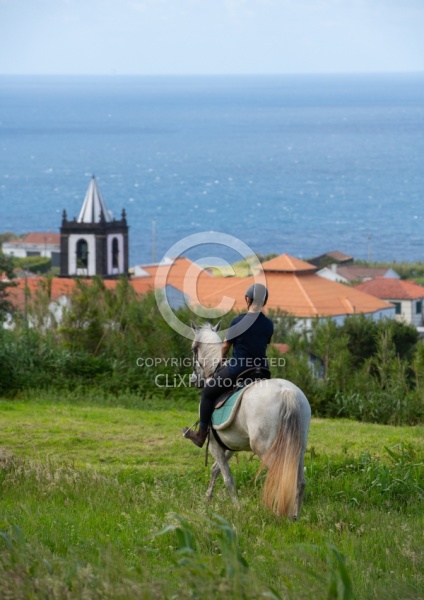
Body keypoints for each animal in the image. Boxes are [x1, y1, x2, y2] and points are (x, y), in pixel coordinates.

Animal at [190, 324, 312, 520]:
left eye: (193, 349)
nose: (194, 380)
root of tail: (287, 392)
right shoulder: (230, 445)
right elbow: (216, 469)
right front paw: (208, 498)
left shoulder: (215, 445)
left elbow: (227, 478)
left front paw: (237, 508)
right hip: (297, 448)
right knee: (298, 481)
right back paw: (294, 516)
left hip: (268, 449)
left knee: (279, 476)